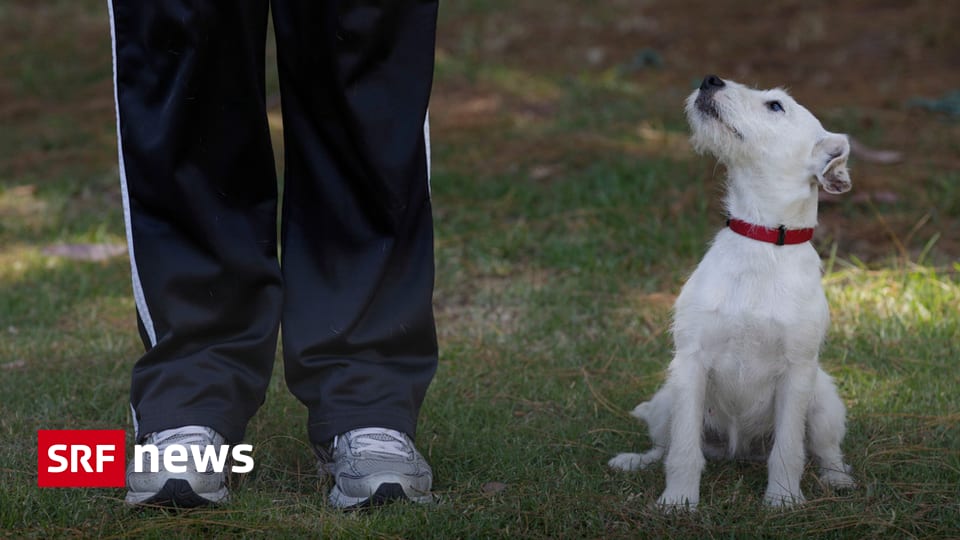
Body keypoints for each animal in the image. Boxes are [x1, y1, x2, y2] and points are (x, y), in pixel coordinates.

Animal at [608, 75, 856, 506]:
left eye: (775, 106)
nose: (710, 79)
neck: (760, 239)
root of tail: (738, 451)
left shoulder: (797, 371)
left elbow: (789, 450)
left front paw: (783, 500)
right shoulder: (691, 362)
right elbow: (683, 449)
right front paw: (679, 501)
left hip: (823, 401)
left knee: (826, 450)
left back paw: (838, 479)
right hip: (667, 398)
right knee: (662, 446)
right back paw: (634, 461)